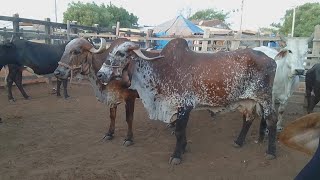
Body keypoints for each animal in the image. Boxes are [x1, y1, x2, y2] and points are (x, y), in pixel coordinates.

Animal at [97, 38, 278, 165]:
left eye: (120, 54)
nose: (100, 74)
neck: (161, 68)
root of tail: (271, 59)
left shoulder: (185, 105)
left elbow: (178, 131)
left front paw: (176, 155)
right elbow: (181, 131)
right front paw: (183, 148)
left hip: (265, 98)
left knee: (272, 120)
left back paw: (271, 152)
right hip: (247, 100)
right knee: (248, 118)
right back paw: (239, 142)